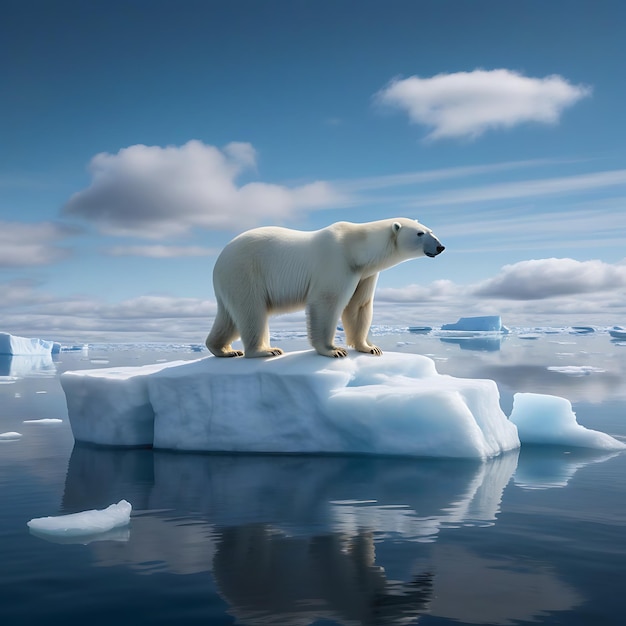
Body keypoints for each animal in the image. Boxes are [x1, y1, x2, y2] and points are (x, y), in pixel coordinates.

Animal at [205, 218, 444, 356]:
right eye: (420, 233)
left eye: (431, 230)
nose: (440, 246)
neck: (357, 247)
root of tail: (218, 261)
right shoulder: (336, 262)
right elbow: (327, 302)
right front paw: (334, 350)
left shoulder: (365, 273)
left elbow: (359, 305)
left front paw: (370, 347)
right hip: (245, 272)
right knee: (252, 312)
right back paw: (266, 350)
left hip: (231, 281)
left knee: (229, 317)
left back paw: (223, 349)